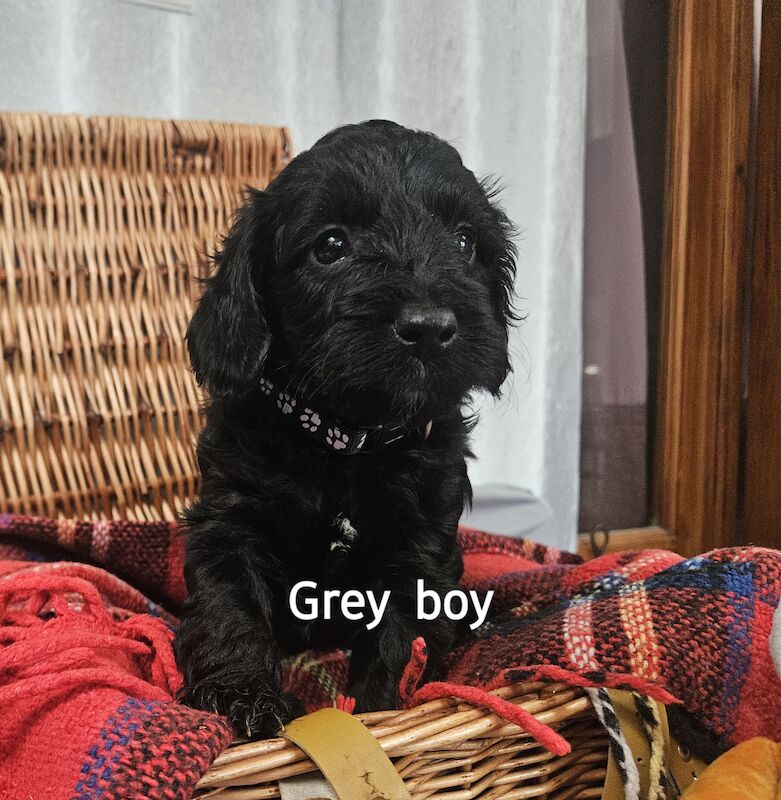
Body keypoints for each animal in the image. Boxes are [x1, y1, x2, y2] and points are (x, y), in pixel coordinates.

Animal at [177, 120, 516, 736]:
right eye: (331, 246)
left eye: (464, 243)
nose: (430, 328)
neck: (345, 441)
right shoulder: (230, 518)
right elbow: (230, 608)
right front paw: (242, 698)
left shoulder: (419, 550)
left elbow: (399, 643)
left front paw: (374, 714)